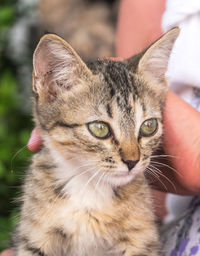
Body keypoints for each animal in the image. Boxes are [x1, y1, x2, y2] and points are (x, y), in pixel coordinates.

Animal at [12, 28, 180, 256]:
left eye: (149, 126)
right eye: (100, 129)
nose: (132, 161)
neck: (89, 188)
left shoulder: (141, 240)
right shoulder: (35, 237)